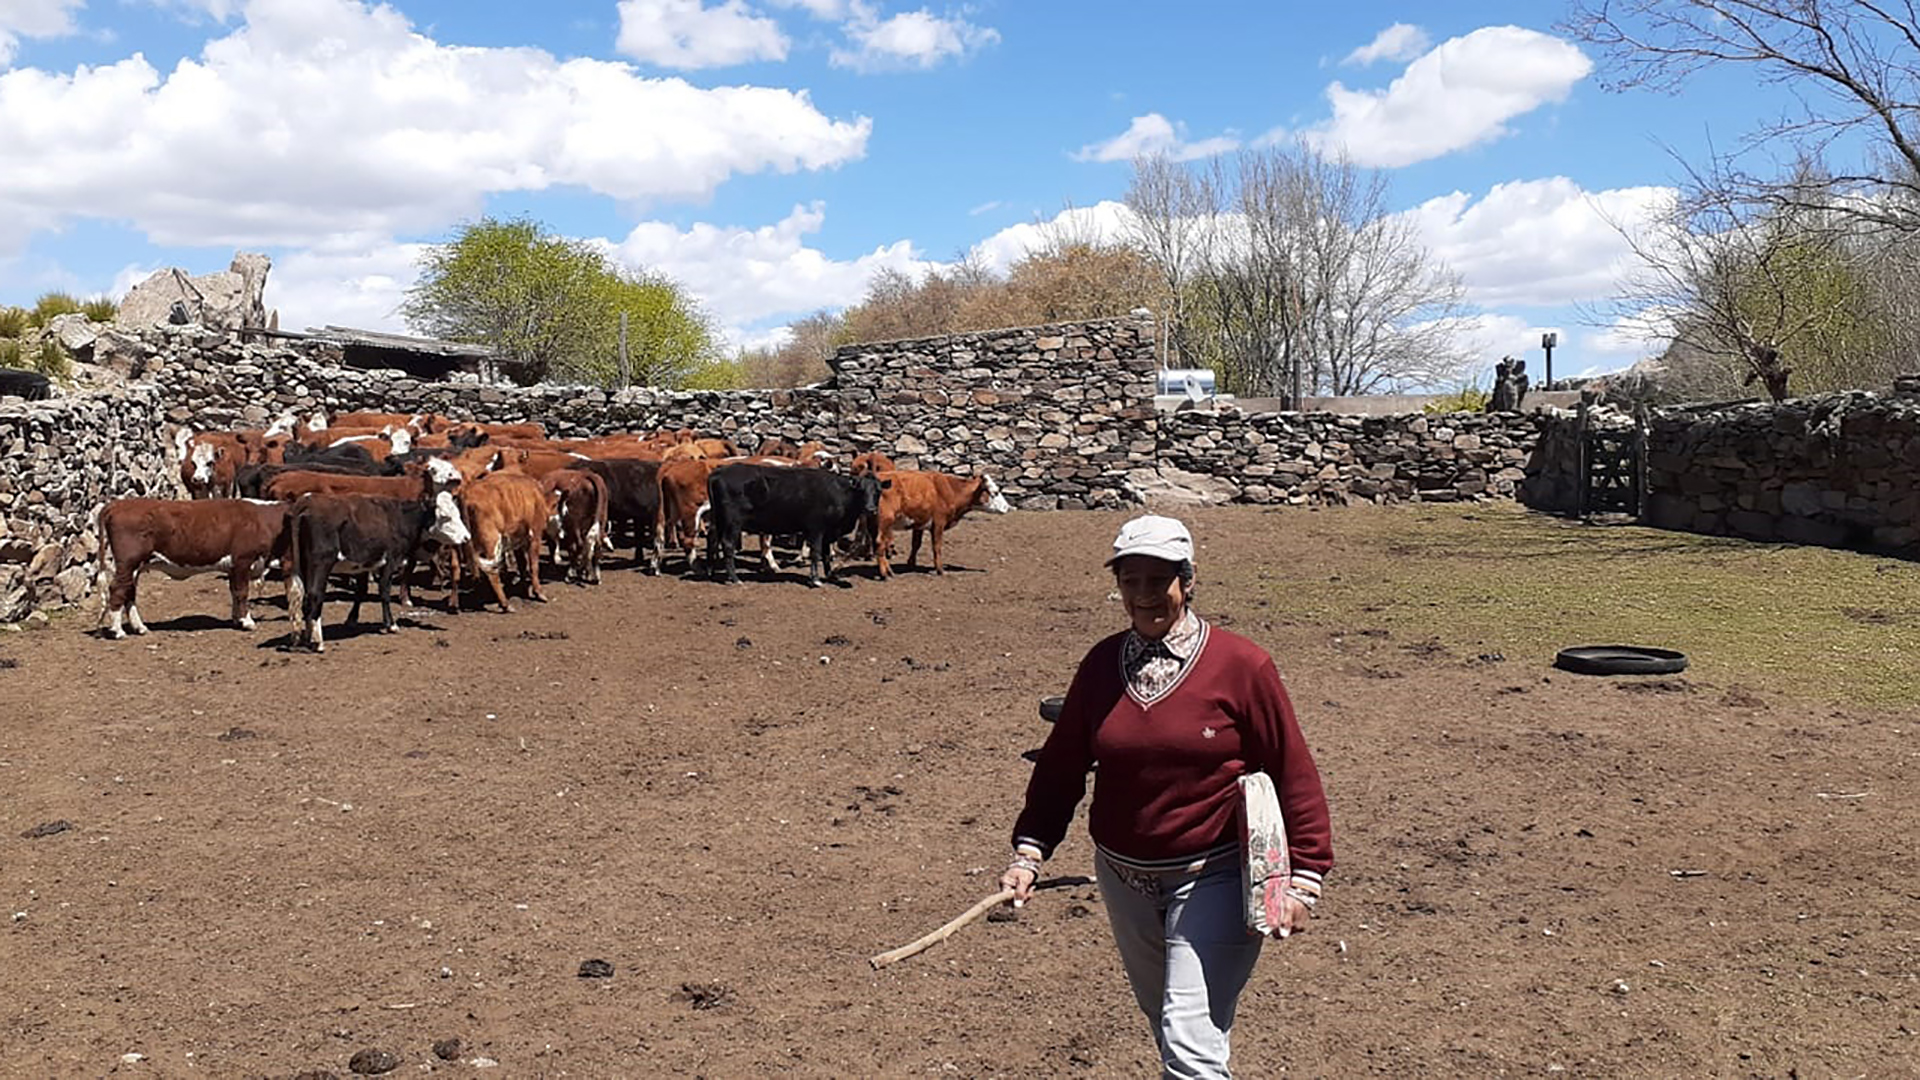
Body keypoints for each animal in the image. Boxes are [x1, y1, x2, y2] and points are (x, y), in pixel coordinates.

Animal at [98, 499, 288, 638]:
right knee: (117, 589)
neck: (261, 520)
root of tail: (117, 504)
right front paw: (247, 622)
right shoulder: (243, 561)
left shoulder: (233, 568)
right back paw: (118, 631)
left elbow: (234, 593)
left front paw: (236, 620)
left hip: (134, 567)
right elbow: (242, 593)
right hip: (128, 563)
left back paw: (140, 628)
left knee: (128, 592)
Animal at [284, 488, 472, 645]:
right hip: (321, 564)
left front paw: (352, 620)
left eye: (458, 514)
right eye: (446, 517)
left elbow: (361, 591)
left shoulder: (363, 564)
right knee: (314, 594)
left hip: (302, 565)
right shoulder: (390, 561)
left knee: (299, 596)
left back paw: (305, 636)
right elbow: (384, 592)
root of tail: (306, 501)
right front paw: (391, 625)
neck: (400, 518)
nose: (466, 537)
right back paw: (317, 641)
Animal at [706, 457, 883, 584]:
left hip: (718, 520)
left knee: (713, 538)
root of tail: (718, 472)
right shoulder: (817, 529)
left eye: (878, 491)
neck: (838, 492)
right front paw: (815, 579)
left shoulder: (828, 532)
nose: (871, 509)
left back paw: (711, 571)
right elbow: (816, 553)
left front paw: (830, 575)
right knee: (728, 545)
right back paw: (734, 578)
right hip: (732, 523)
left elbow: (826, 555)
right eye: (861, 490)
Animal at [875, 466, 1013, 576]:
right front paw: (940, 570)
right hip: (884, 521)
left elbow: (916, 544)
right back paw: (885, 574)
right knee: (880, 543)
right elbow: (937, 546)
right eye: (996, 492)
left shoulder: (919, 523)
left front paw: (911, 564)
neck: (951, 490)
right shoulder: (938, 523)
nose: (1007, 507)